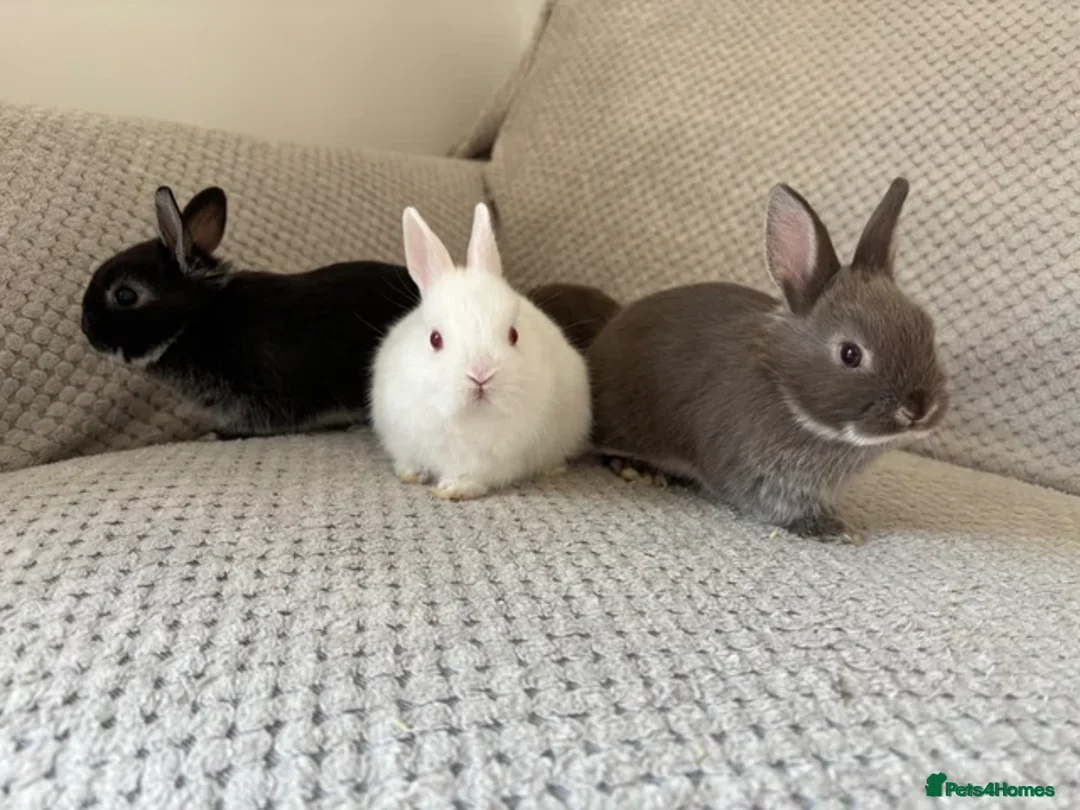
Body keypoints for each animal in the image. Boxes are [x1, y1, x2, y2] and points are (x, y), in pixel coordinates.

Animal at [370, 203, 592, 500]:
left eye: (513, 335)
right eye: (435, 339)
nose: (481, 375)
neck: (467, 418)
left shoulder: (492, 460)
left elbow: (471, 476)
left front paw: (454, 490)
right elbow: (411, 461)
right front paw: (411, 475)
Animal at [587, 177, 948, 540]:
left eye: (927, 329)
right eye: (850, 354)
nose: (918, 409)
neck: (786, 391)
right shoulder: (755, 472)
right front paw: (828, 528)